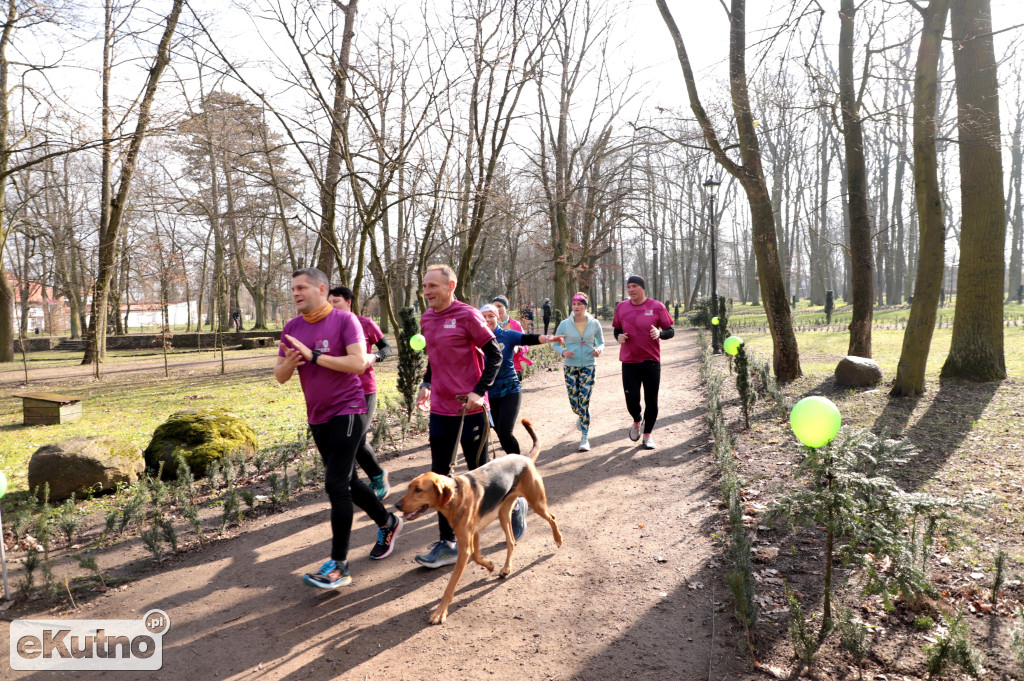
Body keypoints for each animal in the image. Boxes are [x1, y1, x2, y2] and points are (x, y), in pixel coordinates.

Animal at [395, 417, 565, 622]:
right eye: (409, 488)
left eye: (419, 490)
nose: (397, 505)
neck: (455, 496)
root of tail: (524, 458)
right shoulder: (472, 535)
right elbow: (477, 557)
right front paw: (490, 565)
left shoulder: (465, 547)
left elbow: (451, 585)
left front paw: (440, 611)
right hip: (503, 514)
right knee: (511, 541)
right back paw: (506, 568)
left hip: (537, 502)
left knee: (552, 518)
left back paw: (558, 539)